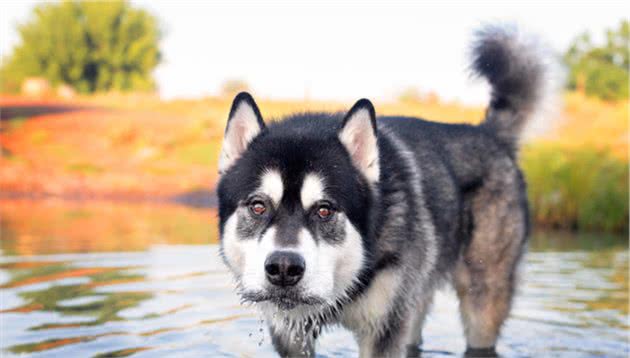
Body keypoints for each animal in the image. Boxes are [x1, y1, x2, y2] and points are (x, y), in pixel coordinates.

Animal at [216, 25, 556, 358]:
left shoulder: (384, 328)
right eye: (258, 206)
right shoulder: (291, 333)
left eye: (325, 209)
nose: (284, 267)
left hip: (480, 297)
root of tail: (488, 133)